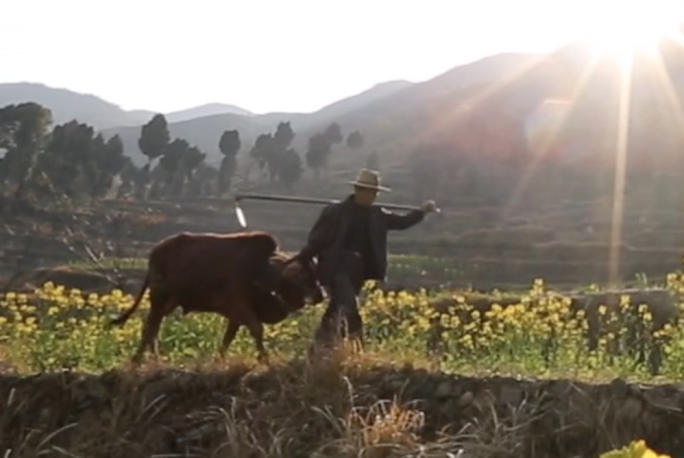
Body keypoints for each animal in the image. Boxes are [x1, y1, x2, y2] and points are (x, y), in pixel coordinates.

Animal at [111, 231, 324, 366]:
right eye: (304, 276)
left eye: (315, 274)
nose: (320, 296)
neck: (262, 272)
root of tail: (157, 251)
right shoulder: (240, 307)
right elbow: (257, 329)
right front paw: (264, 358)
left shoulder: (236, 316)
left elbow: (227, 339)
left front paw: (219, 359)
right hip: (159, 298)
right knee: (150, 327)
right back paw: (138, 360)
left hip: (168, 302)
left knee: (152, 327)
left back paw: (152, 359)